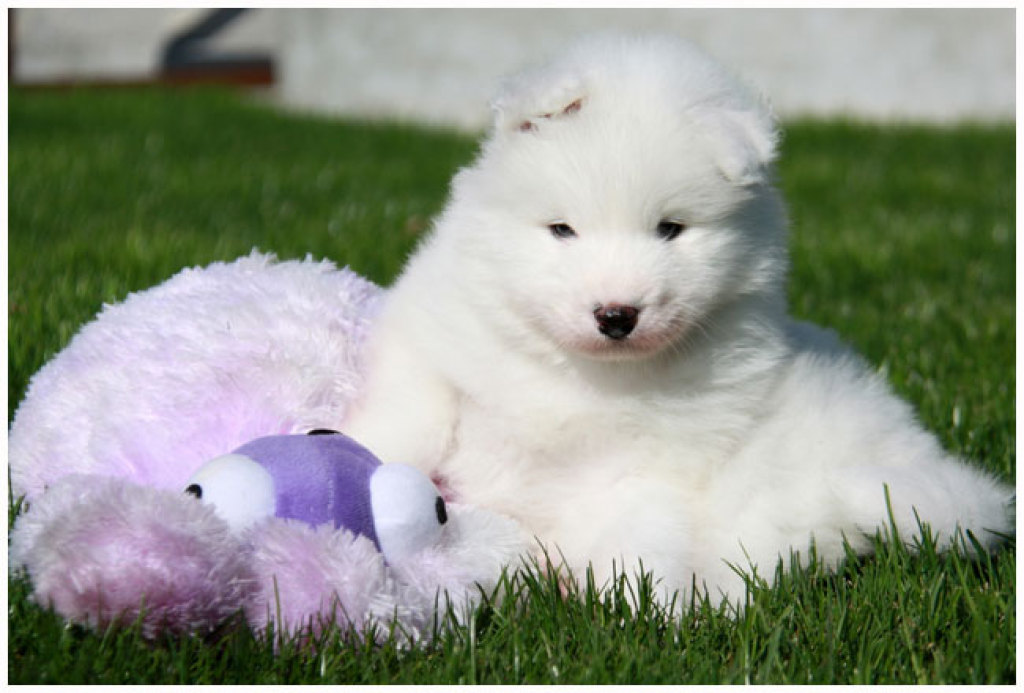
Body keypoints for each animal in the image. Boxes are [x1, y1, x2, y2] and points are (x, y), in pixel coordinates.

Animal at [343, 34, 1014, 606]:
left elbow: (637, 527)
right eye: (562, 229)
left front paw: (642, 608)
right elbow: (407, 420)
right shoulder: (432, 351)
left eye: (671, 229)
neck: (574, 374)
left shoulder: (652, 464)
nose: (616, 314)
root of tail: (920, 454)